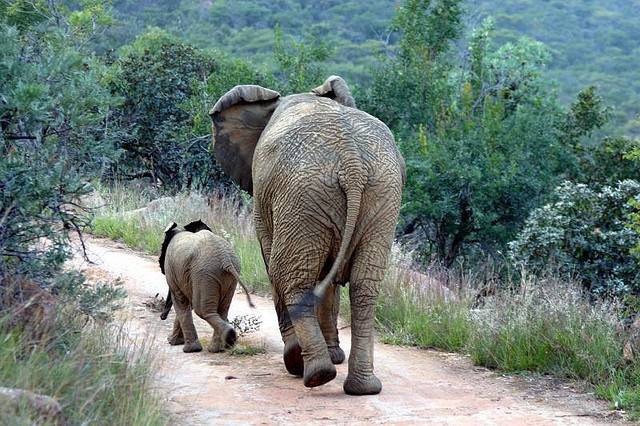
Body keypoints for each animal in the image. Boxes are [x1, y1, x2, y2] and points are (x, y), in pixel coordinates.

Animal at [159, 220, 254, 352]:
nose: (162, 317)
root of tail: (225, 259)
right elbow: (187, 303)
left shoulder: (172, 269)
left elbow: (181, 301)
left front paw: (184, 347)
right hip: (226, 275)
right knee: (222, 309)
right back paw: (217, 348)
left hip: (205, 273)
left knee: (202, 310)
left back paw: (223, 340)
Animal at [209, 76, 404, 396]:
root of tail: (351, 163)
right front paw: (335, 354)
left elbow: (272, 262)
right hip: (380, 197)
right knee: (364, 287)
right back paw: (362, 387)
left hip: (304, 195)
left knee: (289, 276)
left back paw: (308, 370)